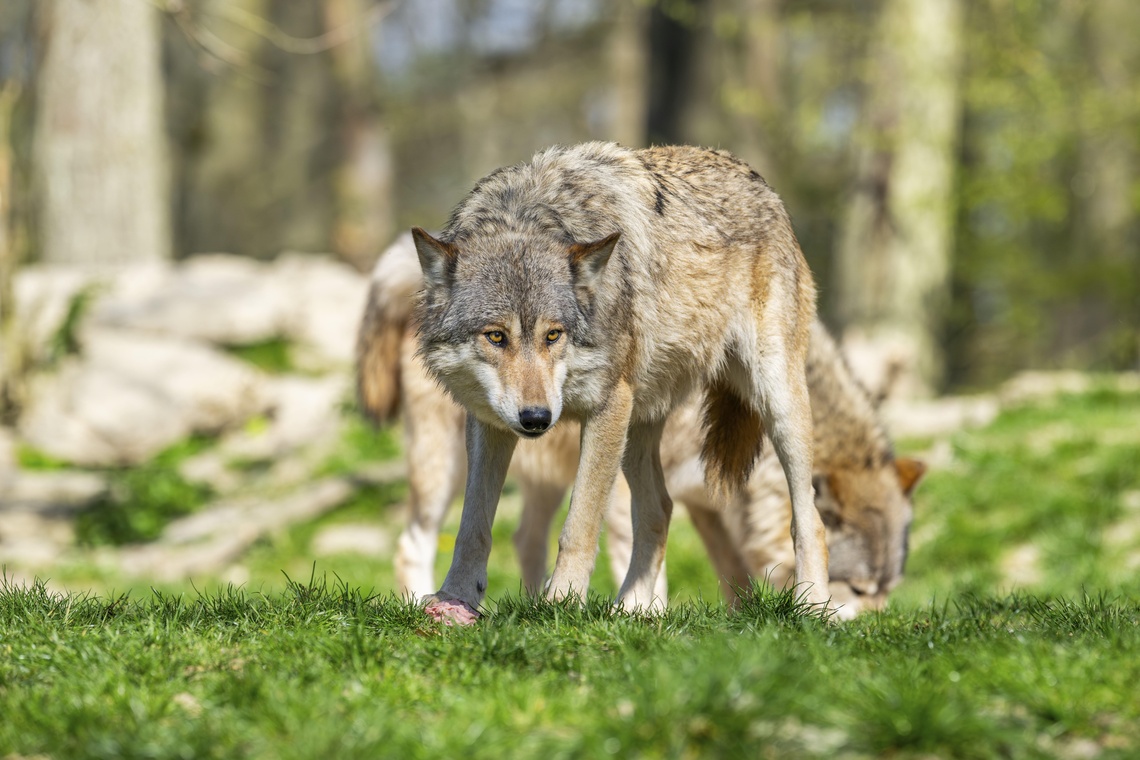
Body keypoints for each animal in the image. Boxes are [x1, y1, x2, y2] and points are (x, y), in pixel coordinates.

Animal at [358, 235, 924, 618]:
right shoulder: (624, 487)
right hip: (446, 467)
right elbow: (649, 556)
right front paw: (644, 619)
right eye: (858, 590)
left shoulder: (711, 505)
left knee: (524, 536)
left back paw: (532, 604)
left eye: (886, 591)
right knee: (413, 542)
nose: (867, 635)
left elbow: (732, 575)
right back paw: (427, 604)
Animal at [410, 142, 824, 622]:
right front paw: (456, 599)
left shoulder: (606, 407)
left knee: (810, 518)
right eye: (496, 336)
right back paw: (632, 613)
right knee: (660, 510)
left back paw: (815, 608)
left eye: (553, 335)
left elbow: (580, 525)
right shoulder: (489, 425)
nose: (536, 419)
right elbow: (472, 525)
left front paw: (561, 604)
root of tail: (759, 182)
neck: (527, 213)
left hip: (775, 401)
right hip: (637, 429)